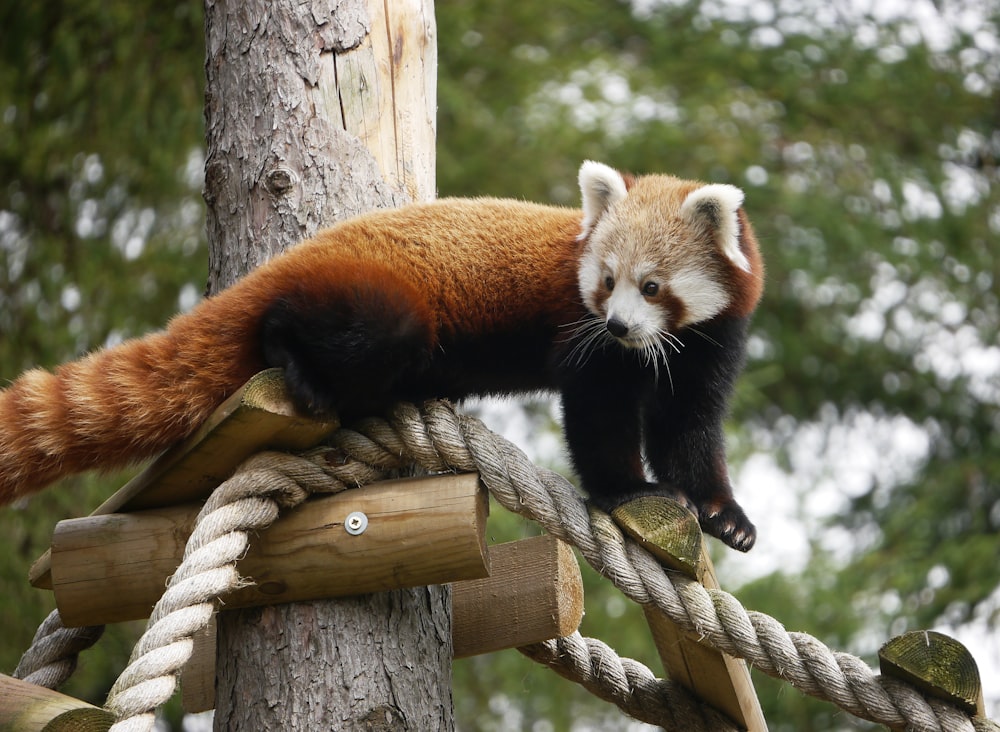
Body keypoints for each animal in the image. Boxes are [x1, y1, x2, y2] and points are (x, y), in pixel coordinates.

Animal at [1, 160, 764, 548]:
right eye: (606, 281)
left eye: (652, 286)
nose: (618, 326)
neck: (660, 346)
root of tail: (295, 256)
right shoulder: (583, 341)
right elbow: (598, 418)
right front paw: (629, 490)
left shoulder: (710, 345)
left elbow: (688, 429)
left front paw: (724, 513)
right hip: (377, 300)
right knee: (325, 327)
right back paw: (299, 364)